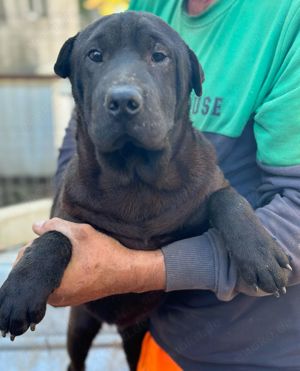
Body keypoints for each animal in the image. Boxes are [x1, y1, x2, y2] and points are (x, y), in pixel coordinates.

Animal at [0, 11, 290, 371]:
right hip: (80, 324)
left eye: (159, 56)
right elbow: (54, 238)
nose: (123, 100)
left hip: (135, 335)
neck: (136, 176)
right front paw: (20, 292)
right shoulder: (67, 214)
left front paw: (260, 253)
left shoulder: (204, 191)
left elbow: (225, 197)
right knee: (74, 360)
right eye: (95, 55)